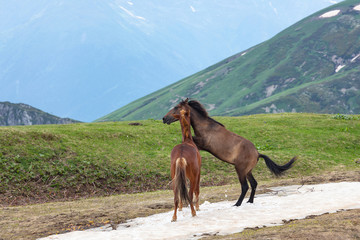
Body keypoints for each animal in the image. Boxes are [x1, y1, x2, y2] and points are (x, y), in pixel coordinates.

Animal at [163, 99, 296, 206]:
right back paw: (249, 201)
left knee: (245, 186)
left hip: (240, 170)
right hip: (248, 171)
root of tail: (257, 154)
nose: (164, 118)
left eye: (176, 107)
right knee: (254, 184)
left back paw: (237, 204)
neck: (205, 126)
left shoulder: (203, 143)